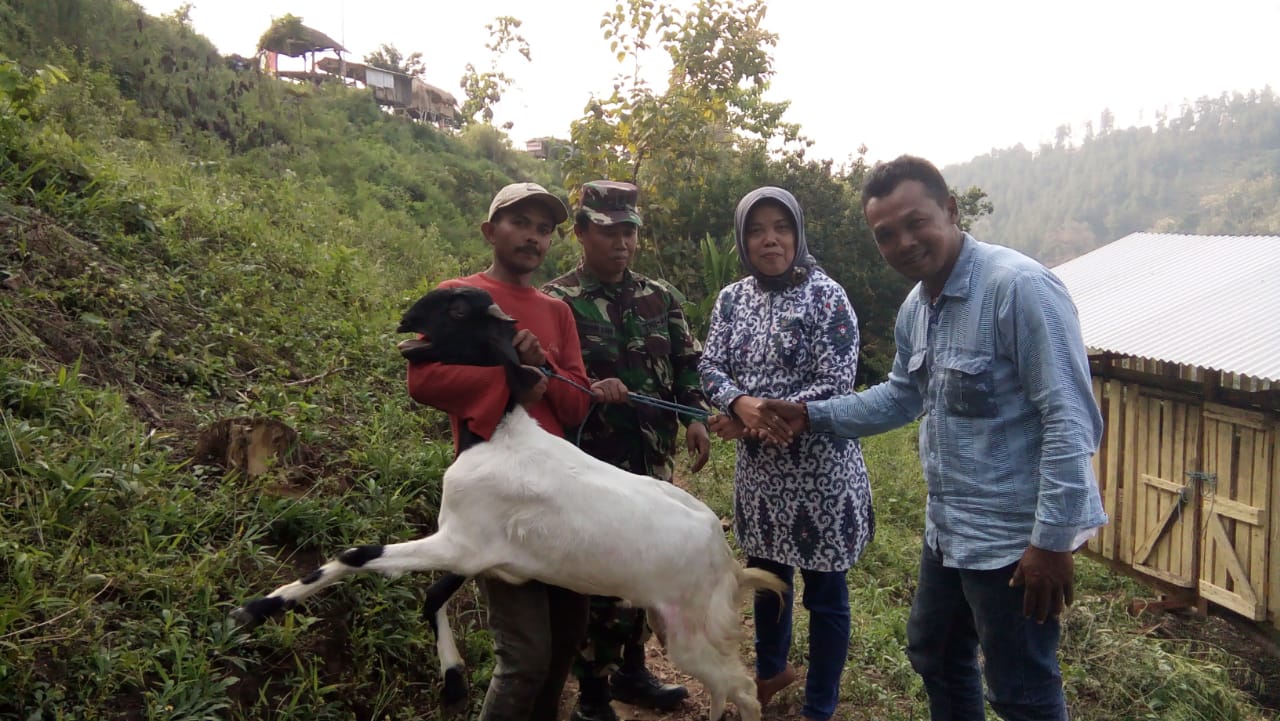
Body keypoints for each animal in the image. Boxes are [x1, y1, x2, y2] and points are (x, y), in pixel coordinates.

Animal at [234, 288, 783, 721]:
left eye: (458, 309)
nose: (406, 320)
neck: (498, 434)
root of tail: (728, 562)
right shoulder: (482, 554)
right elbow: (432, 596)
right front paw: (454, 680)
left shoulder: (458, 540)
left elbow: (358, 555)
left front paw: (255, 608)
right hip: (674, 625)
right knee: (725, 688)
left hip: (692, 629)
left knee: (744, 690)